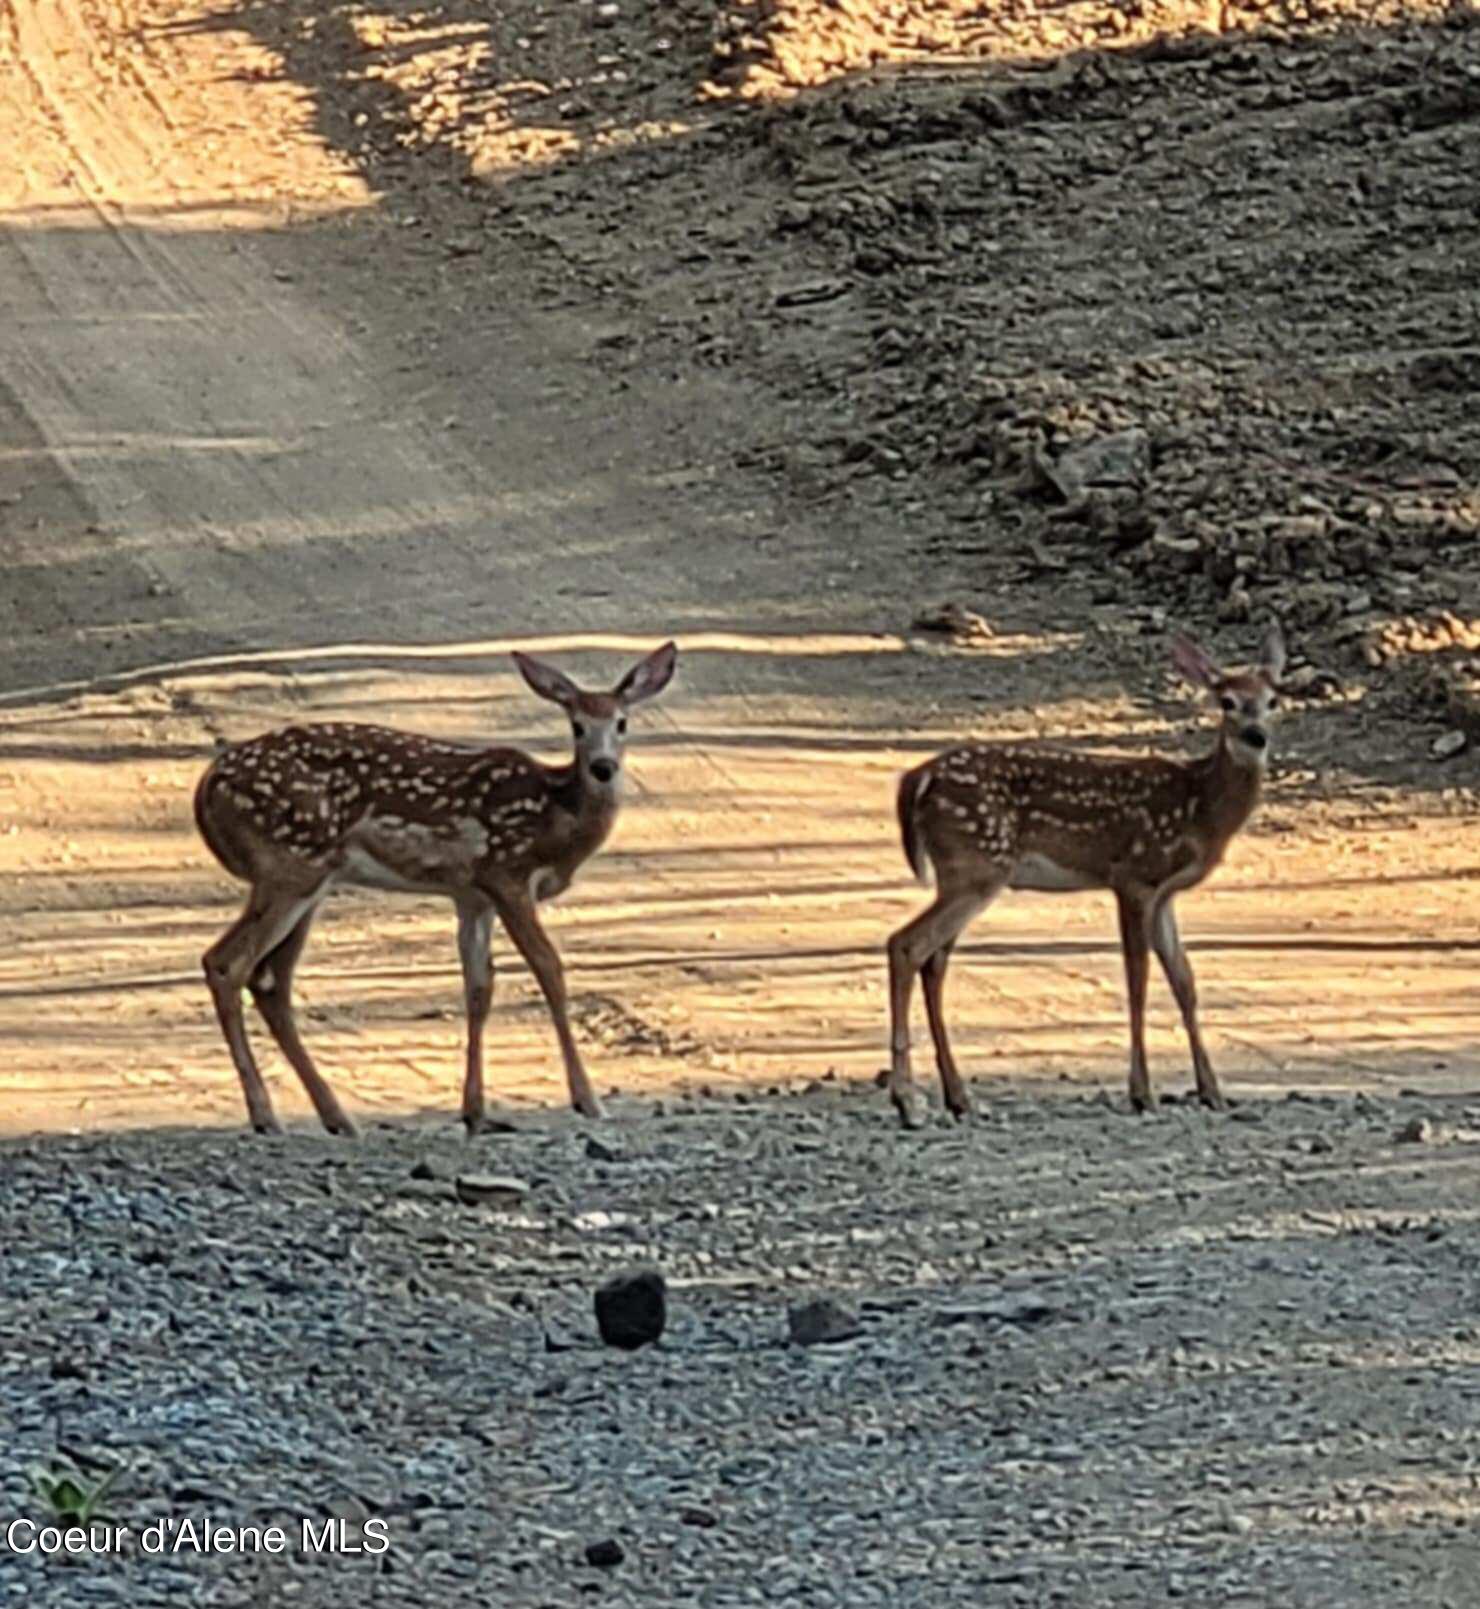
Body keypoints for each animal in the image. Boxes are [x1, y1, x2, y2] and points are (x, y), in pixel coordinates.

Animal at [193, 633, 678, 1139]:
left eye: (621, 722)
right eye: (577, 726)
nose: (603, 767)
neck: (554, 817)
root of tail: (206, 787)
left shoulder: (472, 896)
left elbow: (479, 988)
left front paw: (475, 1111)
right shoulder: (507, 873)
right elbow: (550, 970)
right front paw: (588, 1100)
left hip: (306, 880)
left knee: (270, 981)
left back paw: (336, 1117)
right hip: (290, 867)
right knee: (226, 963)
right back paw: (265, 1114)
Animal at [881, 621, 1286, 1126]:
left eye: (1273, 699)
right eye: (1226, 701)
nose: (1256, 737)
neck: (1199, 808)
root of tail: (916, 780)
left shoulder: (1165, 893)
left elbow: (1185, 982)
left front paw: (1212, 1091)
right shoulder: (1133, 876)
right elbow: (1138, 980)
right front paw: (1142, 1093)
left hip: (963, 873)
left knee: (933, 960)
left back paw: (958, 1097)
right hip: (976, 865)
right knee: (907, 944)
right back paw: (907, 1100)